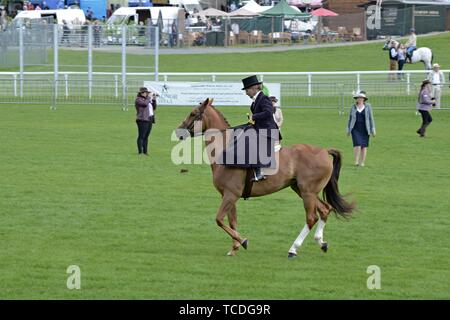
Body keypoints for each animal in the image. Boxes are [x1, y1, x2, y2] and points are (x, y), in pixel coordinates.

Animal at [176, 98, 356, 258]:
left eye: (193, 113)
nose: (178, 131)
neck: (226, 150)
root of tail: (324, 151)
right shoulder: (229, 196)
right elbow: (232, 221)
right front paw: (234, 248)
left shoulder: (230, 195)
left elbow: (219, 220)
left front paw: (243, 241)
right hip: (301, 189)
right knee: (325, 209)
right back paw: (321, 243)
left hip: (308, 192)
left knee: (311, 218)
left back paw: (293, 249)